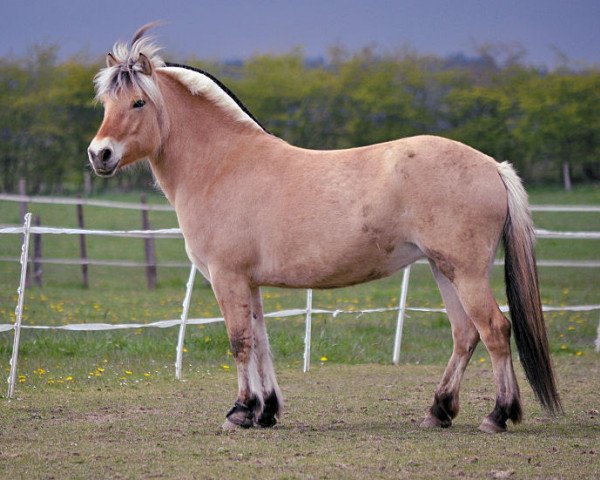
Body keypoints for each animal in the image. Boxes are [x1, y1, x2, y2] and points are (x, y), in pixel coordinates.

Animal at [89, 24, 564, 434]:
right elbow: (261, 341)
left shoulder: (227, 277)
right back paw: (439, 411)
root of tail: (493, 166)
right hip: (443, 269)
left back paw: (498, 415)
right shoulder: (249, 282)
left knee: (495, 330)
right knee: (465, 335)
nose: (99, 155)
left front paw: (240, 412)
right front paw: (266, 412)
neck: (223, 165)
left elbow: (240, 341)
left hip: (465, 272)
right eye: (106, 105)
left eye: (138, 103)